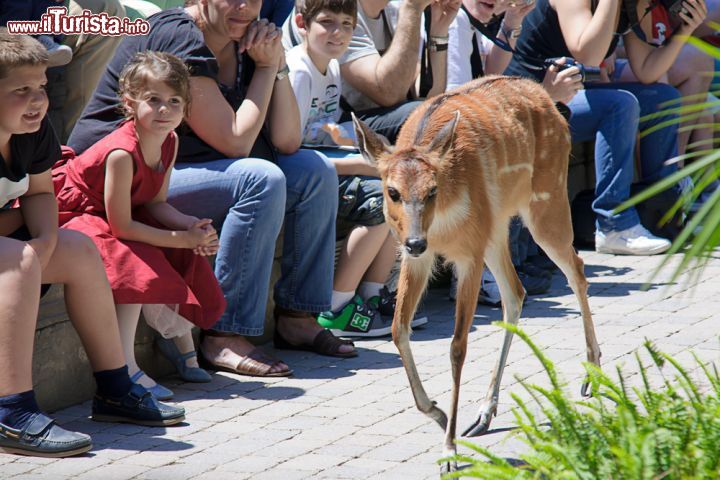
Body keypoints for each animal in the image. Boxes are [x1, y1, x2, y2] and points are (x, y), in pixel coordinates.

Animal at [350, 75, 600, 472]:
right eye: (392, 191)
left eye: (432, 190)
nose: (416, 241)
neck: (441, 221)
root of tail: (547, 97)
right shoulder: (417, 257)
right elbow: (397, 329)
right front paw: (438, 415)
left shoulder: (468, 253)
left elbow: (457, 345)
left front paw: (449, 451)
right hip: (497, 228)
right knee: (516, 292)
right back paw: (484, 414)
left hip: (545, 200)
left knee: (575, 268)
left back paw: (590, 378)